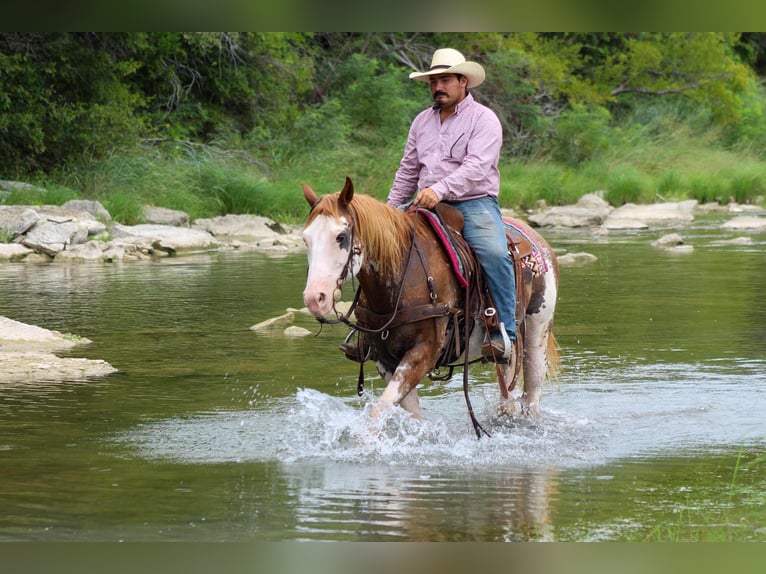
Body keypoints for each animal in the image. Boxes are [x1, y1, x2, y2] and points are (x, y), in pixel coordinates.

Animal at [301, 177, 559, 437]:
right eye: (305, 239)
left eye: (341, 236)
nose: (315, 298)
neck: (403, 275)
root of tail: (537, 240)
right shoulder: (384, 359)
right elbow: (409, 413)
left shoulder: (425, 352)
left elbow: (378, 410)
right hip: (509, 352)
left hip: (537, 330)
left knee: (531, 394)